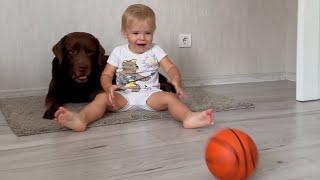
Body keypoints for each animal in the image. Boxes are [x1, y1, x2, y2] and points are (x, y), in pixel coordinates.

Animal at [43, 32, 175, 119]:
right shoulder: (53, 92)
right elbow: (52, 100)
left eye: (90, 52)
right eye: (71, 52)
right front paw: (50, 111)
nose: (83, 68)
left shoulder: (98, 90)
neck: (77, 84)